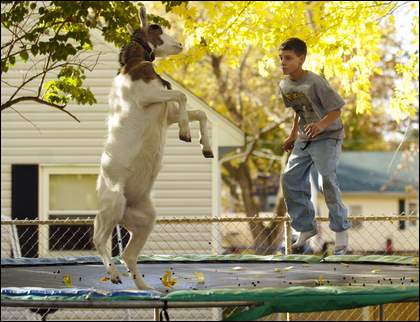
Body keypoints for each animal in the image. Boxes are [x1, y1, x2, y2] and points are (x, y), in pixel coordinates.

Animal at [94, 6, 215, 290]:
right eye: (156, 28)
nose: (179, 44)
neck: (133, 67)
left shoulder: (165, 113)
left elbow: (200, 113)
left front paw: (204, 146)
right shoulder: (147, 98)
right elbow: (182, 96)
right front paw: (185, 132)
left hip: (144, 219)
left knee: (128, 254)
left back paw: (143, 288)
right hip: (112, 205)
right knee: (98, 240)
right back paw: (113, 275)